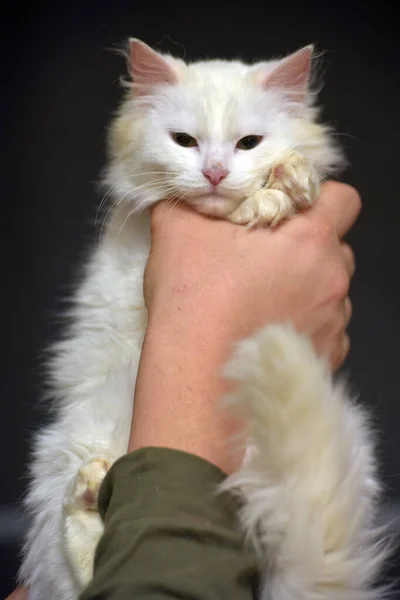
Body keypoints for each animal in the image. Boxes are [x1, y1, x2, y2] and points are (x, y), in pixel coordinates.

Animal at [18, 39, 388, 596]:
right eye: (185, 142)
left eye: (248, 143)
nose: (214, 172)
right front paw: (262, 201)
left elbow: (293, 179)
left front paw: (285, 183)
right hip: (62, 448)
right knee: (92, 566)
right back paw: (87, 491)